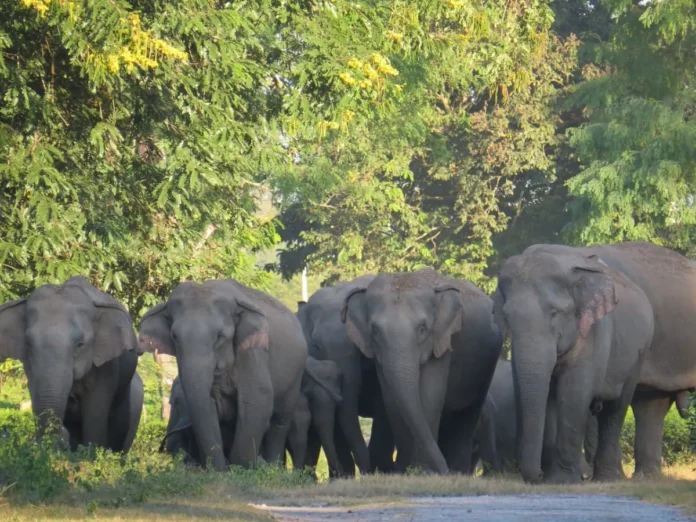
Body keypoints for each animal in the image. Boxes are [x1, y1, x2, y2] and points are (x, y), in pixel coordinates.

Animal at [139, 278, 308, 470]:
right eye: (174, 336)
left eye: (220, 336)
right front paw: (218, 471)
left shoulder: (252, 351)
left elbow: (257, 398)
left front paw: (240, 468)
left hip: (296, 373)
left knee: (280, 418)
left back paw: (273, 467)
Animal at [338, 268, 498, 472]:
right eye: (375, 331)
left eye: (422, 329)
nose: (444, 471)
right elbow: (392, 399)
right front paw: (406, 470)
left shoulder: (441, 342)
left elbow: (430, 395)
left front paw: (425, 471)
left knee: (467, 416)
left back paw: (457, 470)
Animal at [494, 246, 668, 482]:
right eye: (507, 317)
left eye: (554, 313)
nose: (537, 475)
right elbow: (539, 394)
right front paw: (553, 477)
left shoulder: (593, 332)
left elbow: (573, 392)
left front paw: (562, 481)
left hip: (640, 351)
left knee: (616, 409)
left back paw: (606, 478)